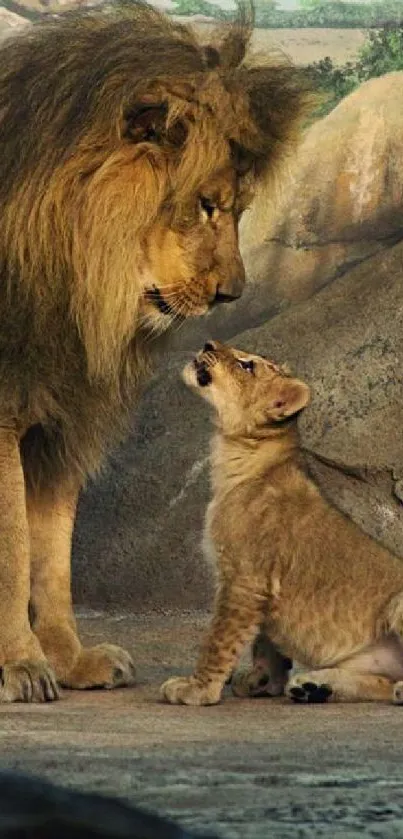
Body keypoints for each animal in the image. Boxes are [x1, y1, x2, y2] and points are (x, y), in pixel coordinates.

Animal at [0, 0, 310, 700]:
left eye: (238, 209)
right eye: (205, 204)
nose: (233, 294)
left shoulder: (63, 419)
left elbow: (50, 554)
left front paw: (71, 661)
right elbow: (12, 551)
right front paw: (20, 667)